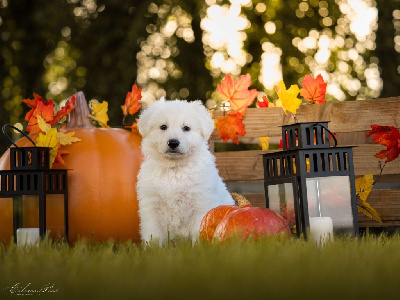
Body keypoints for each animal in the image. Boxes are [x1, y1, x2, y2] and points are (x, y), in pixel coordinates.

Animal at [137, 97, 234, 245]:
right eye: (163, 127)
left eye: (186, 128)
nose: (173, 143)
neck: (175, 169)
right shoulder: (152, 206)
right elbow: (154, 234)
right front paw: (152, 248)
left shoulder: (200, 204)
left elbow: (198, 231)